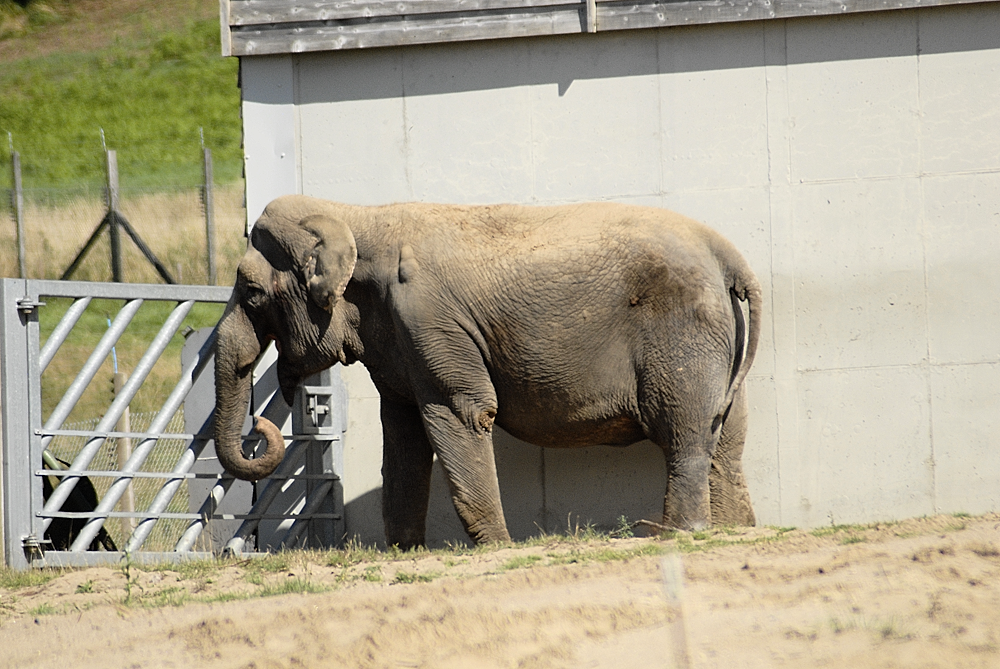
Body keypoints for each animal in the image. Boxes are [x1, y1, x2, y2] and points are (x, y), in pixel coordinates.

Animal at [213, 194, 761, 548]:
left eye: (252, 292)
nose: (259, 425)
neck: (357, 217)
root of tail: (729, 256)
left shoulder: (429, 319)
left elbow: (463, 412)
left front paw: (497, 546)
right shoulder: (400, 336)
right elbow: (404, 432)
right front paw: (405, 551)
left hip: (682, 331)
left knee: (684, 432)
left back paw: (677, 534)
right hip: (717, 341)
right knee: (727, 435)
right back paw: (736, 530)